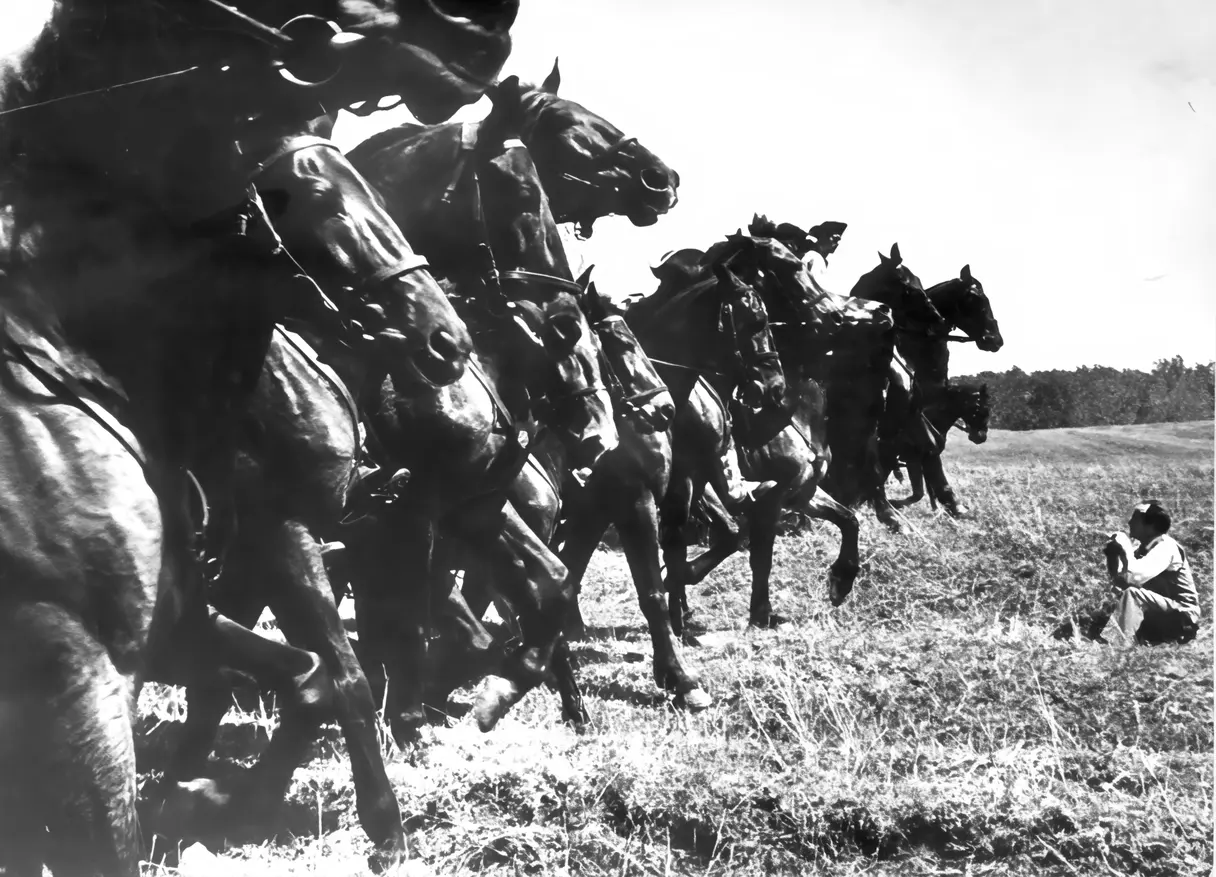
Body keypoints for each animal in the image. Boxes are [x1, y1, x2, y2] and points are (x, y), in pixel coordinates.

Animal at [0, 0, 513, 870]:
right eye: (309, 193)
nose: (446, 339)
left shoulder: (197, 604)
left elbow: (316, 673)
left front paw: (220, 796)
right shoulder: (88, 670)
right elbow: (336, 672)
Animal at [890, 381, 992, 515]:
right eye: (979, 408)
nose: (981, 437)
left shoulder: (929, 458)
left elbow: (936, 486)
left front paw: (953, 508)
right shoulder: (914, 458)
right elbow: (920, 492)